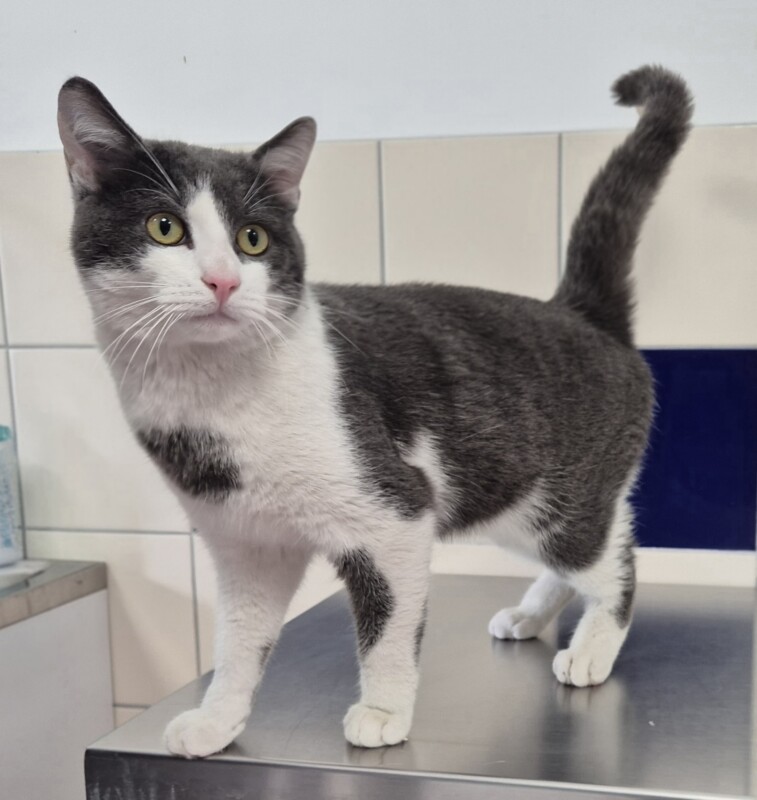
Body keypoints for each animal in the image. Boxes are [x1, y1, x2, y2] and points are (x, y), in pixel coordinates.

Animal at [57, 65, 691, 756]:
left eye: (253, 239)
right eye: (164, 227)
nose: (224, 281)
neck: (214, 396)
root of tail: (581, 312)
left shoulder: (396, 512)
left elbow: (388, 626)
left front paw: (384, 711)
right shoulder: (247, 545)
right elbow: (239, 641)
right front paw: (218, 717)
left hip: (560, 500)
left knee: (614, 558)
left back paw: (592, 647)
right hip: (511, 498)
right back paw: (531, 613)